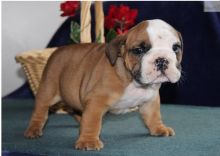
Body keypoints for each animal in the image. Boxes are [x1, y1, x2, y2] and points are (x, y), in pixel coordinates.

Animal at [24, 18, 183, 151]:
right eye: (139, 50)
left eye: (175, 48)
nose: (161, 59)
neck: (133, 81)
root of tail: (57, 51)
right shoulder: (96, 101)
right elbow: (92, 122)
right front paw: (88, 141)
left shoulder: (150, 101)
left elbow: (154, 116)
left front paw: (159, 129)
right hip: (47, 91)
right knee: (40, 111)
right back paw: (33, 129)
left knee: (76, 110)